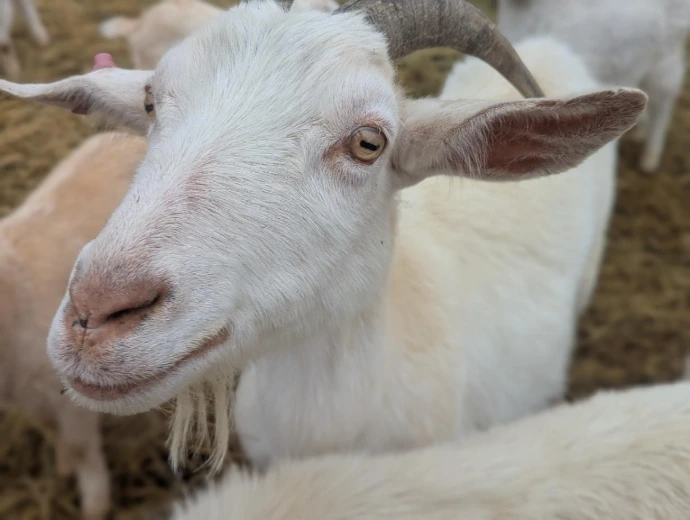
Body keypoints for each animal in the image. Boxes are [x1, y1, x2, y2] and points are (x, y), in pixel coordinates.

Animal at [0, 132, 147, 519]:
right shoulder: (29, 394)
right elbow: (52, 429)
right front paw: (63, 467)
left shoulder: (67, 387)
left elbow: (81, 445)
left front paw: (96, 504)